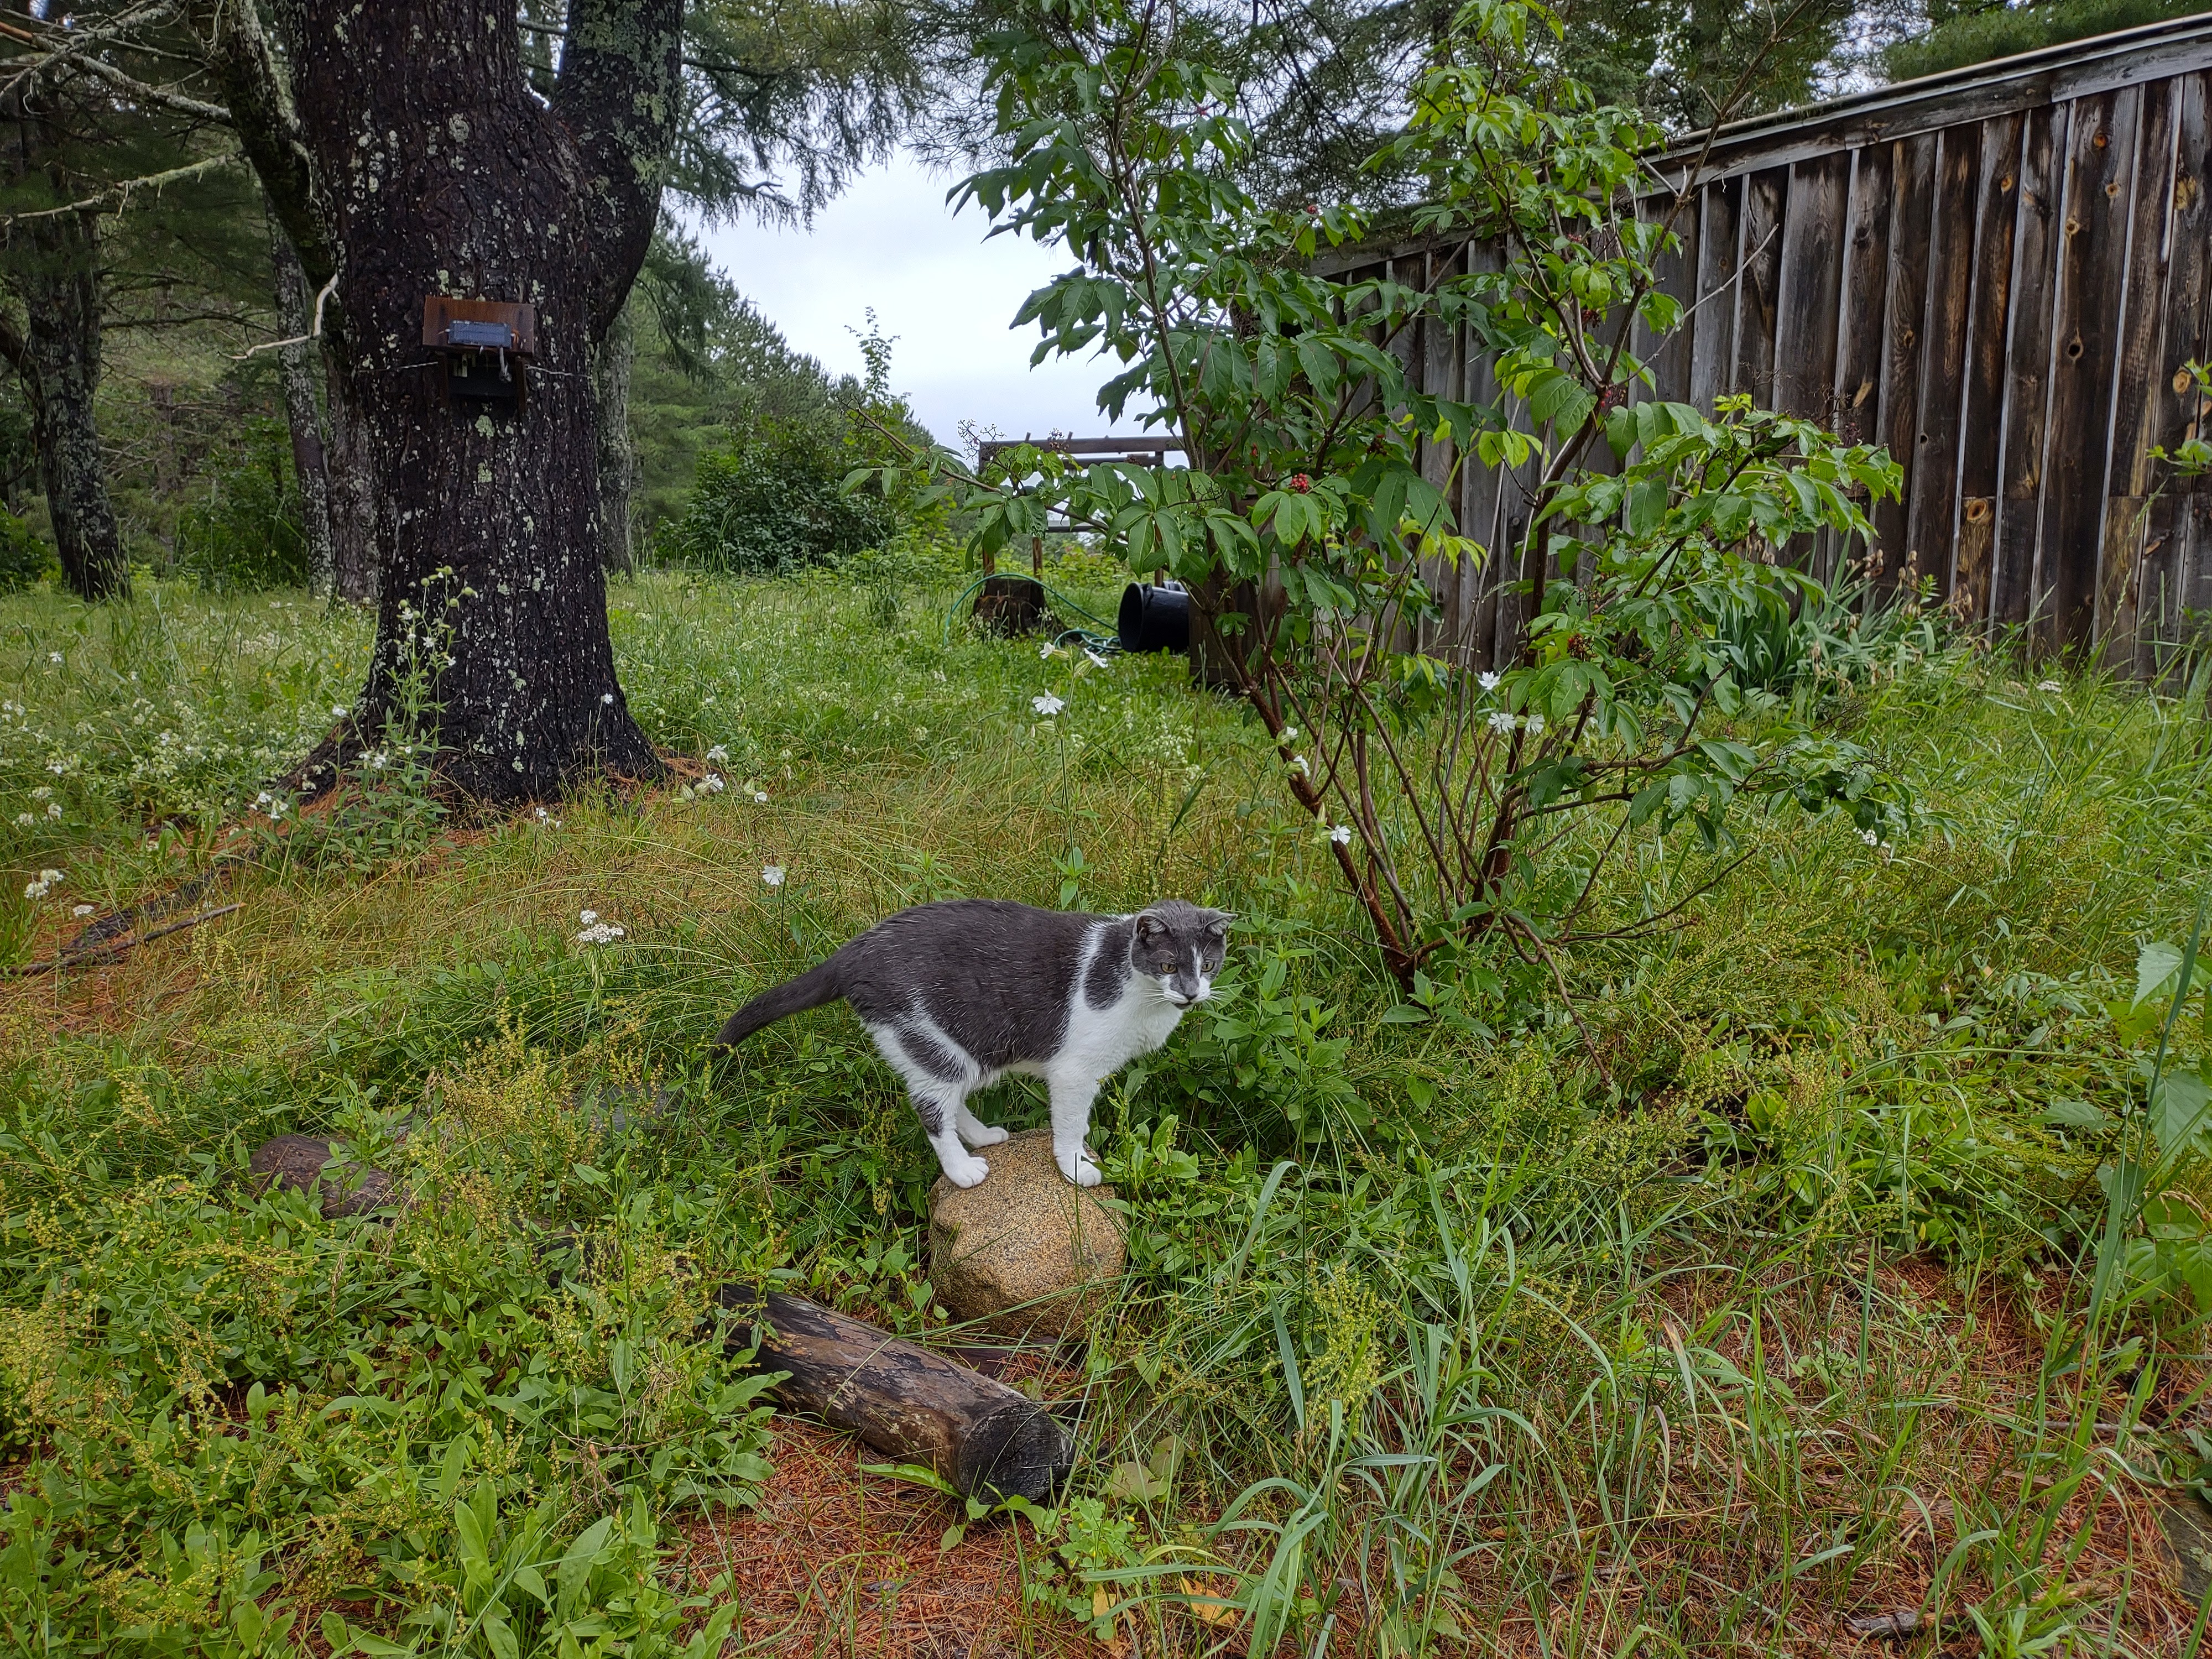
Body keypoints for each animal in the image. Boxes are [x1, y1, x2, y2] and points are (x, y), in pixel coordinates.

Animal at [712, 902, 1239, 1186]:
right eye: (1169, 965)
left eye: (1209, 965)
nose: (1192, 993)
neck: (1143, 994)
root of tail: (853, 951)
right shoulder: (1074, 1071)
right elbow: (1071, 1123)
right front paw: (1073, 1165)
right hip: (933, 1038)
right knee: (930, 1107)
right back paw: (961, 1169)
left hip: (961, 1046)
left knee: (948, 1097)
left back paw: (982, 1136)